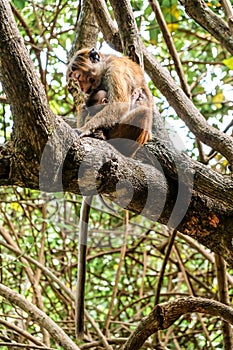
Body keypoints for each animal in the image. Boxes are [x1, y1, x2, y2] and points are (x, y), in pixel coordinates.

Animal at [66, 47, 153, 338]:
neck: (104, 65)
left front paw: (84, 130)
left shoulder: (116, 71)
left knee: (137, 101)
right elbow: (91, 103)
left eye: (78, 75)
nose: (81, 86)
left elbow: (119, 103)